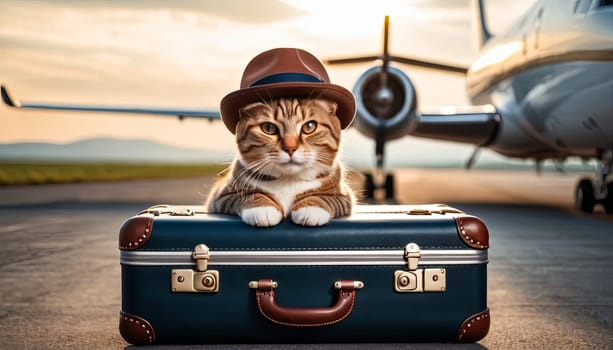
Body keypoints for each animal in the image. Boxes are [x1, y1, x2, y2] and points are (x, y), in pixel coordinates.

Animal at [206, 95, 354, 227]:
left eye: (310, 126)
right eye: (268, 128)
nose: (290, 148)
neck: (288, 180)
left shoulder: (345, 196)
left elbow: (326, 197)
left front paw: (311, 209)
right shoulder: (220, 196)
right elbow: (247, 194)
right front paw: (263, 209)